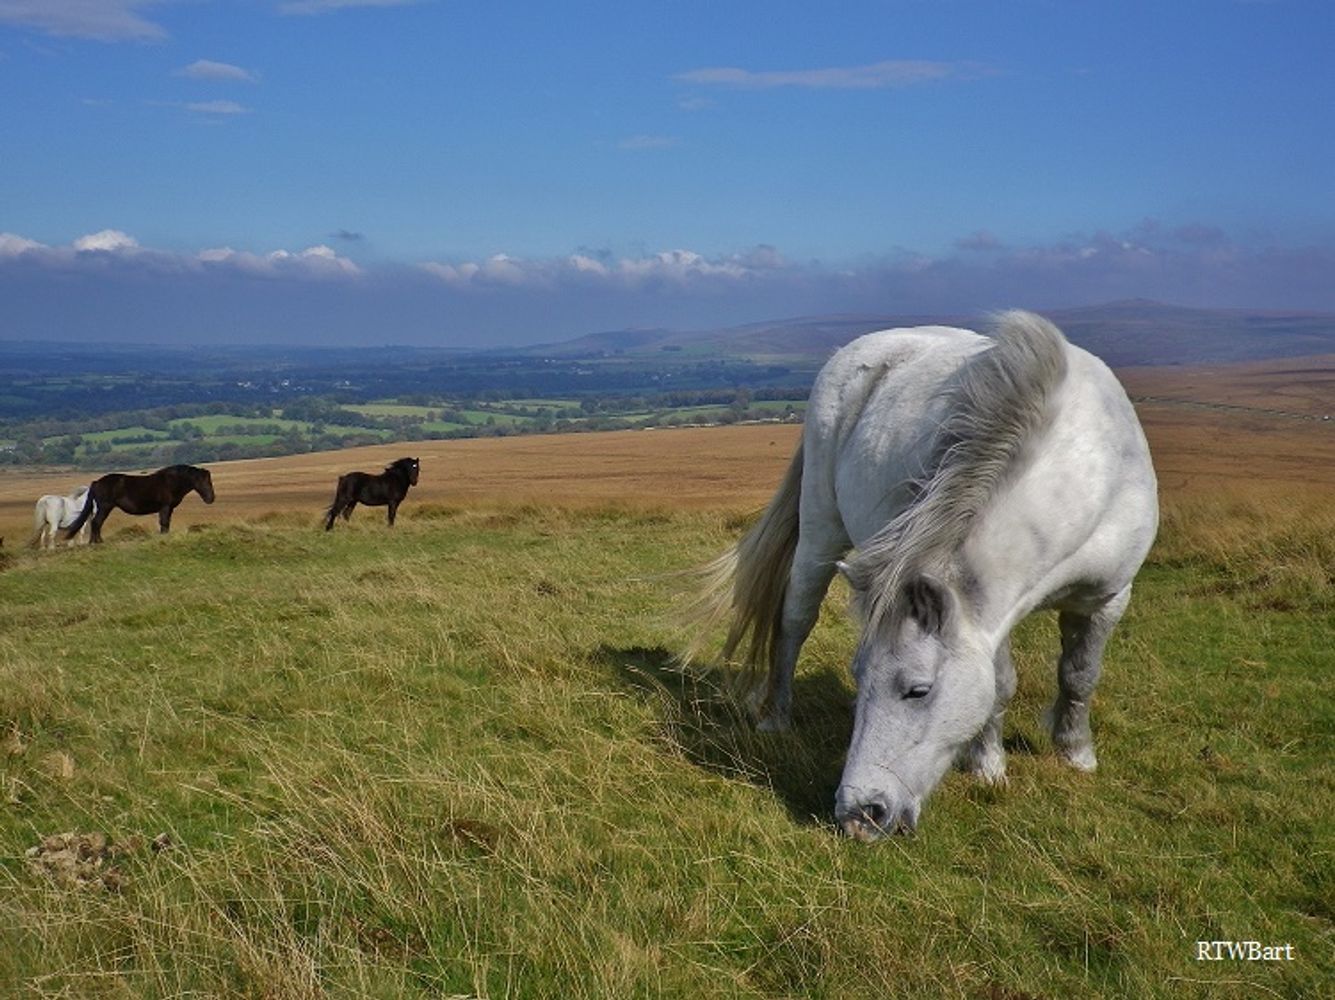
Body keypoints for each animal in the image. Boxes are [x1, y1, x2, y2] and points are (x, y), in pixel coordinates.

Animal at [64, 464, 214, 542]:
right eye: (203, 481)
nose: (211, 499)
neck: (171, 482)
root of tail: (96, 483)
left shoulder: (169, 508)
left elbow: (166, 523)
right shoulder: (165, 507)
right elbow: (164, 523)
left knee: (96, 523)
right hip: (105, 507)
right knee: (96, 522)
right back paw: (97, 542)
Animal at [688, 309, 1158, 833]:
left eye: (918, 690)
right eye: (858, 677)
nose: (859, 813)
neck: (1081, 470)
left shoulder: (1107, 597)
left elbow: (1079, 675)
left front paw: (1076, 755)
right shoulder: (987, 611)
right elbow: (1001, 685)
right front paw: (989, 766)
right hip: (819, 531)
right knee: (795, 620)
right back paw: (777, 717)